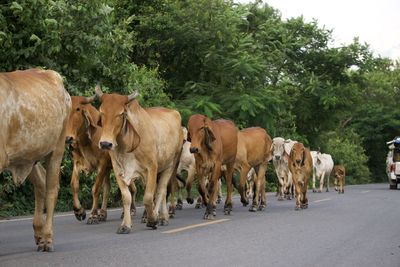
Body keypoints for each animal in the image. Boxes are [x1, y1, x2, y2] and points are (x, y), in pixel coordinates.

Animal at [0, 68, 71, 252]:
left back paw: (47, 239)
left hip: (57, 149)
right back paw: (39, 233)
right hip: (30, 156)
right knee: (40, 183)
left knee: (52, 189)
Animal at [94, 86, 182, 234]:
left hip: (170, 165)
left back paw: (160, 217)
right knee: (163, 192)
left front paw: (152, 220)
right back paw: (161, 216)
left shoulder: (152, 167)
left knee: (161, 190)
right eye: (101, 112)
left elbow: (148, 197)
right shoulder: (118, 170)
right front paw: (125, 225)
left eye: (121, 113)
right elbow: (126, 198)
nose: (106, 143)